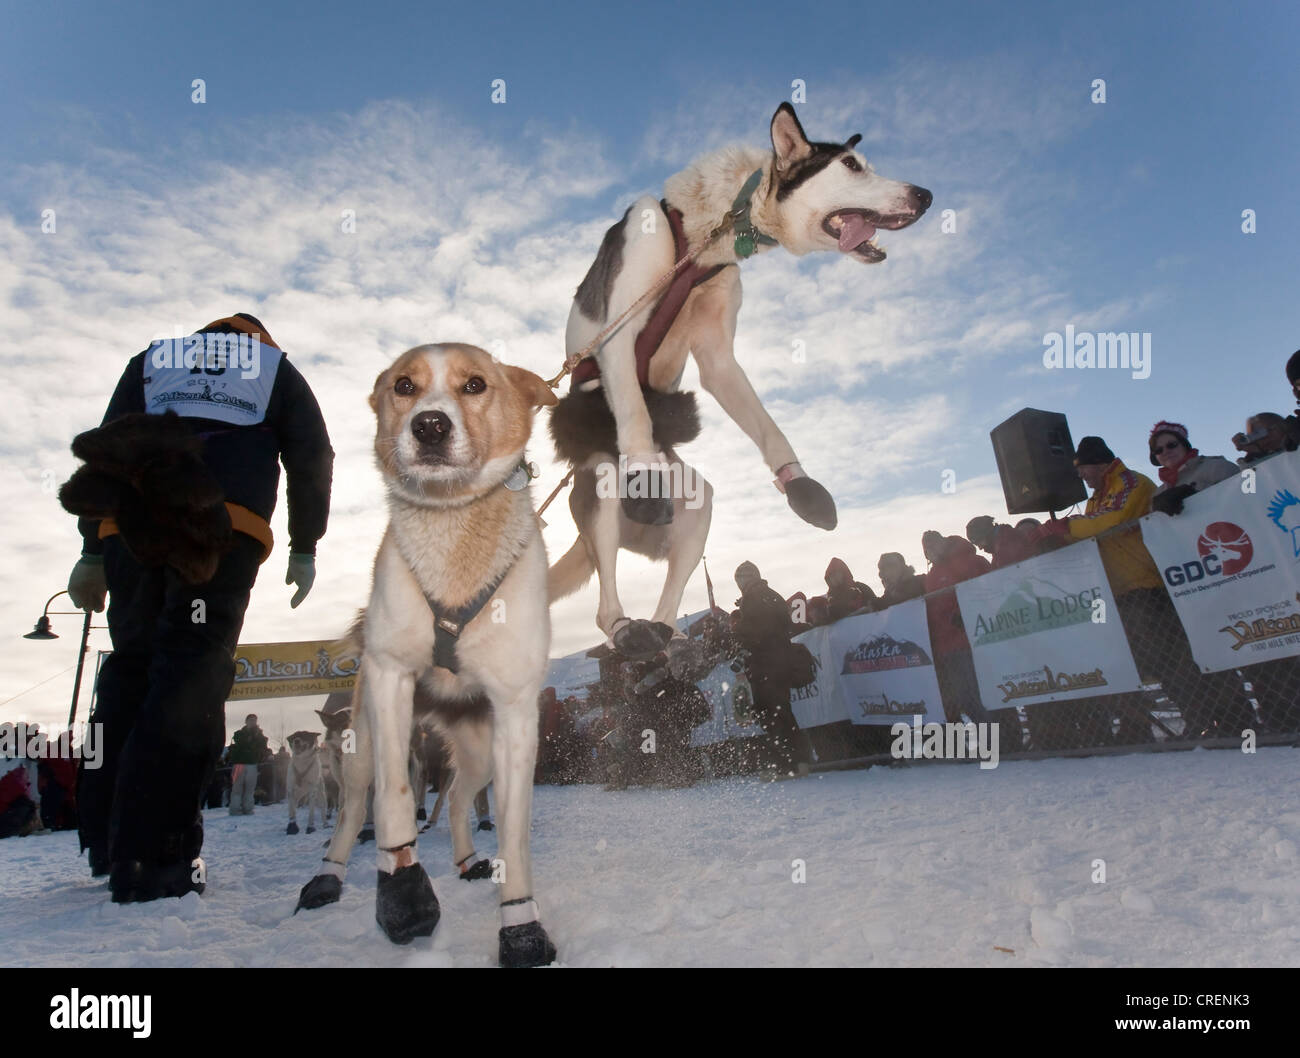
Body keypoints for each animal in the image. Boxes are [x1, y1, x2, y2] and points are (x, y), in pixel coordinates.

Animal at [299, 345, 559, 967]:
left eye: (475, 384)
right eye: (404, 386)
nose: (431, 425)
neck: (454, 527)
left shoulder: (516, 710)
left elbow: (513, 831)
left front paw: (520, 923)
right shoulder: (392, 676)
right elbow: (395, 801)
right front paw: (403, 893)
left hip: (480, 749)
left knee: (461, 800)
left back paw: (466, 861)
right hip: (360, 742)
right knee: (352, 808)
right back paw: (328, 876)